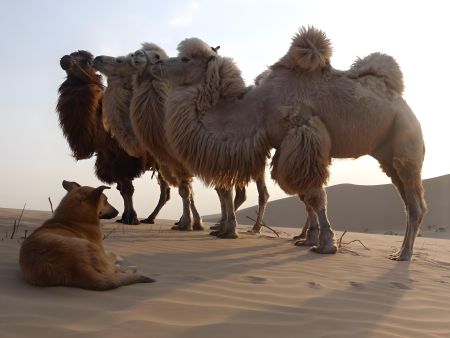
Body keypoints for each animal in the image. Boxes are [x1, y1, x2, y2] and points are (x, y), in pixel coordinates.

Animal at [19, 181, 155, 290]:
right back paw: (130, 269)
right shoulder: (102, 250)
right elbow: (112, 255)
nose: (118, 212)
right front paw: (118, 257)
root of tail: (77, 268)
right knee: (115, 270)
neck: (72, 219)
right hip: (93, 249)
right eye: (106, 200)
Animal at [56, 50, 169, 224]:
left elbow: (128, 189)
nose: (65, 60)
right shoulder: (108, 160)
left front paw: (131, 218)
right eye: (72, 55)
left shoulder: (124, 158)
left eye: (85, 61)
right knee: (166, 190)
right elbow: (121, 190)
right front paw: (124, 217)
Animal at [153, 28, 428, 262]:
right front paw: (310, 239)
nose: (157, 63)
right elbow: (306, 195)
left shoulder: (303, 133)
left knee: (415, 204)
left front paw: (326, 245)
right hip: (386, 155)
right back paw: (400, 251)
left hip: (406, 142)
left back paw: (405, 254)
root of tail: (404, 104)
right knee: (406, 200)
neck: (257, 109)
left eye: (185, 58)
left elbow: (314, 195)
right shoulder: (289, 147)